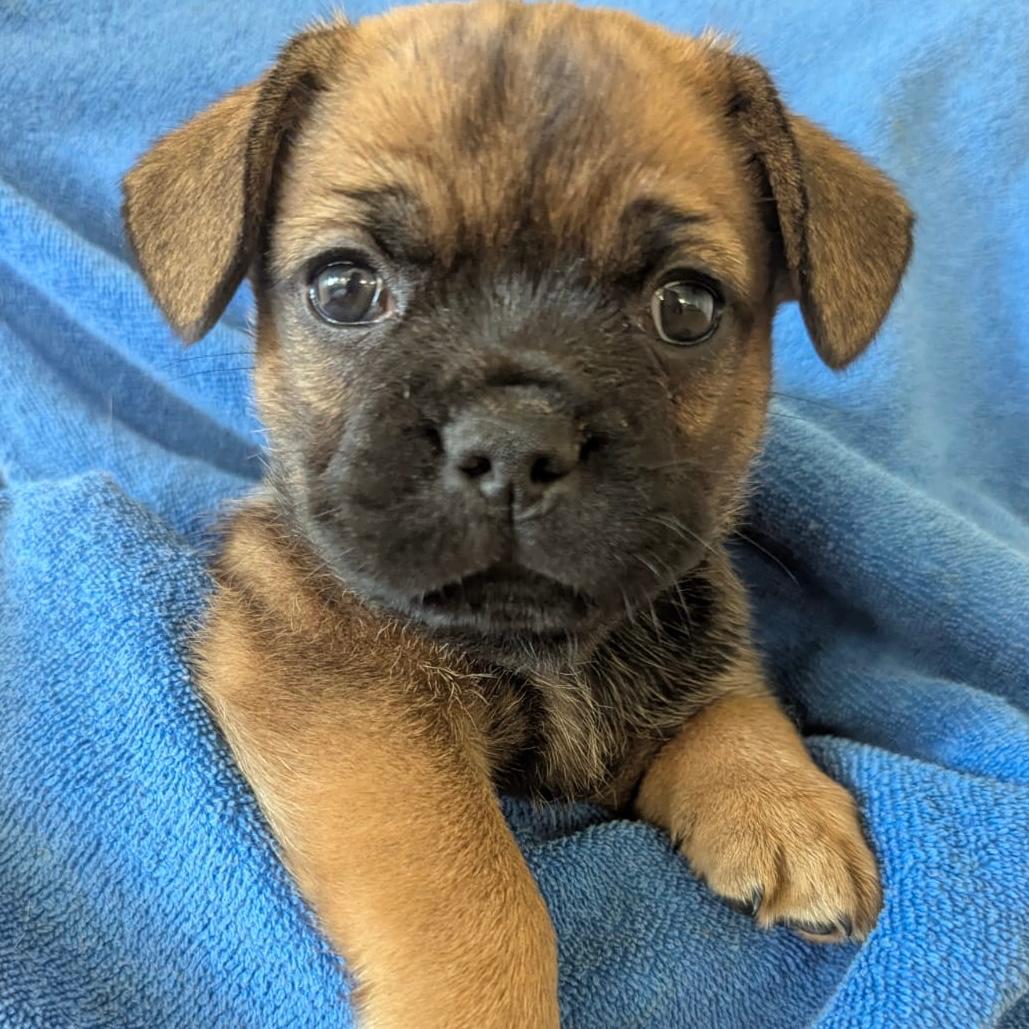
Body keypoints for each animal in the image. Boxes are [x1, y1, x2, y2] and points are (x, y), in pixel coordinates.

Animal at [122, 2, 912, 1025]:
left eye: (686, 307)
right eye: (345, 288)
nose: (512, 441)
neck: (542, 647)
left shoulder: (680, 655)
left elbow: (734, 703)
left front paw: (784, 803)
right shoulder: (362, 712)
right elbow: (475, 894)